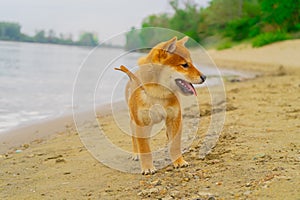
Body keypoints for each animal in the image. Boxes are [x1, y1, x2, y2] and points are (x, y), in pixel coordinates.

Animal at [115, 36, 206, 174]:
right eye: (184, 65)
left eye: (192, 63)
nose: (204, 77)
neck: (158, 94)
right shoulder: (142, 123)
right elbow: (144, 147)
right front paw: (147, 167)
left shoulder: (174, 119)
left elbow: (175, 145)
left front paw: (179, 161)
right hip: (135, 121)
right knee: (135, 139)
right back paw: (136, 154)